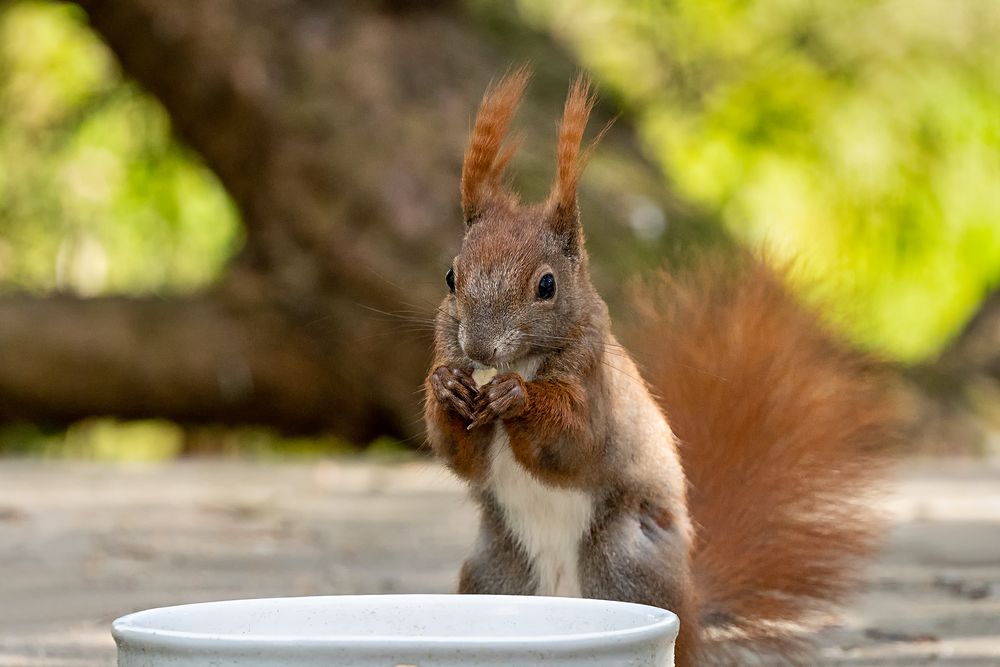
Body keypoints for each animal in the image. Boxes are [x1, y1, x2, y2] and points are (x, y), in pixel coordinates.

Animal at [422, 69, 900, 667]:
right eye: (450, 277)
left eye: (547, 285)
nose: (481, 350)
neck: (519, 361)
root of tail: (693, 610)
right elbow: (460, 455)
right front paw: (446, 387)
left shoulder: (594, 388)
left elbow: (574, 440)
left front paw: (517, 397)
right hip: (495, 575)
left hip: (625, 564)